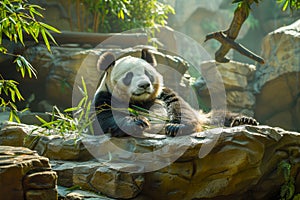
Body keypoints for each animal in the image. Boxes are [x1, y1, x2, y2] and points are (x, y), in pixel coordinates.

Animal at [94, 48, 258, 137]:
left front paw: (175, 127)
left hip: (206, 118)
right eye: (129, 76)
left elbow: (179, 106)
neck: (139, 101)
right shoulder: (104, 97)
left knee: (219, 116)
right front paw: (139, 121)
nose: (144, 85)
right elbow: (107, 117)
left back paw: (244, 120)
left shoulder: (163, 93)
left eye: (148, 74)